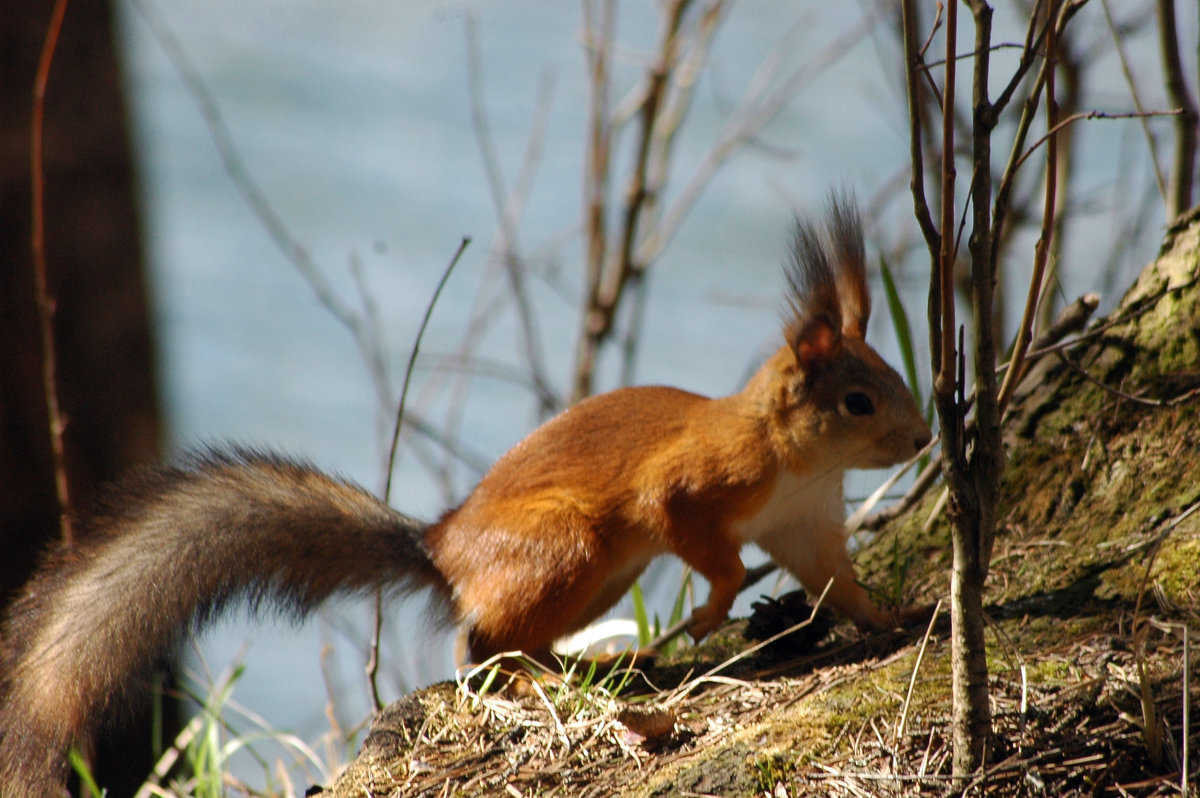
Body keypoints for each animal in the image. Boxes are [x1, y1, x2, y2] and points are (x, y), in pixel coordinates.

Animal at [0, 194, 931, 796]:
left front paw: (899, 616)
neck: (798, 463)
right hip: (571, 548)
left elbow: (839, 583)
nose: (924, 440)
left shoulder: (807, 525)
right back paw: (546, 680)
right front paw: (710, 614)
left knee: (508, 640)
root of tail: (440, 547)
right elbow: (708, 546)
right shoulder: (696, 489)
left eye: (889, 376)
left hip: (600, 578)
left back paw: (587, 666)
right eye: (859, 400)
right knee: (478, 644)